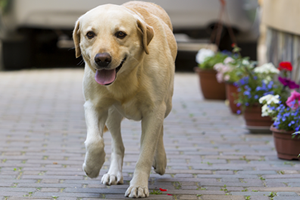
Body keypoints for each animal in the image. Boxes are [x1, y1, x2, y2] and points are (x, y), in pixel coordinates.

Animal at [72, 1, 176, 198]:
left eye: (120, 34)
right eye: (90, 34)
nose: (102, 59)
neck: (126, 77)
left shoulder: (154, 110)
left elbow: (145, 153)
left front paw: (138, 185)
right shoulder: (93, 105)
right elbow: (94, 141)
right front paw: (91, 167)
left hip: (166, 105)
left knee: (159, 131)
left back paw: (160, 159)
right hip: (112, 115)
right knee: (117, 145)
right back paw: (114, 173)